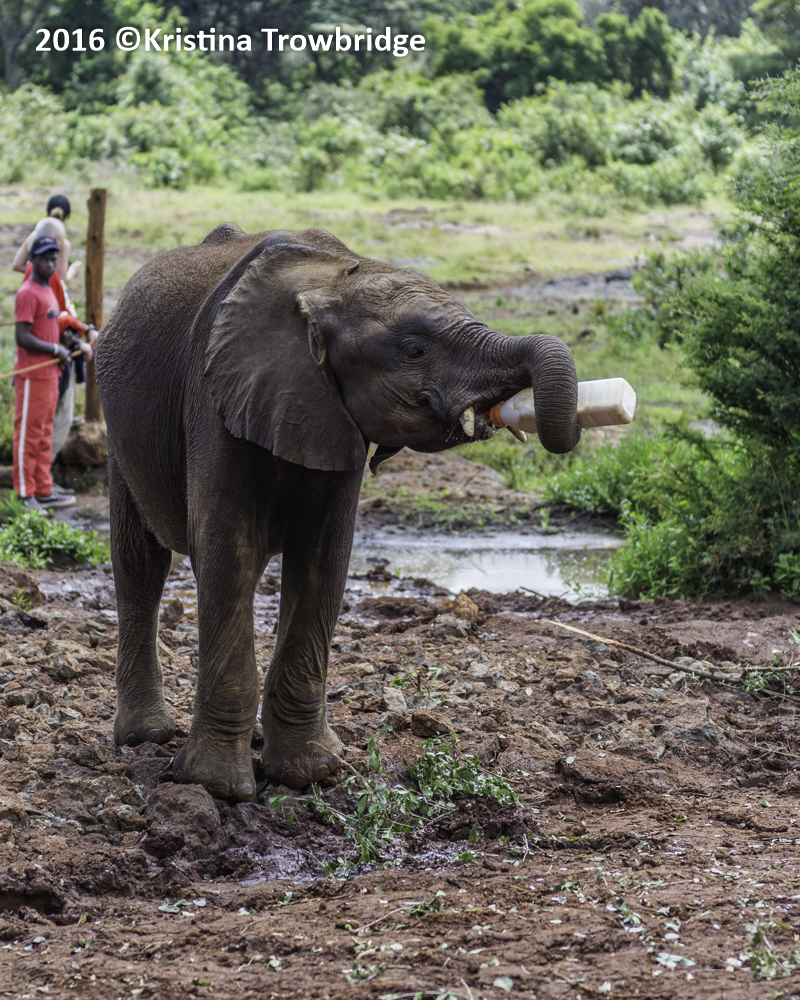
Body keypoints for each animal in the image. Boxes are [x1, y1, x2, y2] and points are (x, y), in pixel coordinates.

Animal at [95, 224, 581, 801]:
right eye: (413, 349)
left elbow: (323, 558)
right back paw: (144, 737)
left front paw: (311, 772)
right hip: (116, 427)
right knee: (141, 561)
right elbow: (227, 550)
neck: (330, 282)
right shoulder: (213, 395)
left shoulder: (333, 414)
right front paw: (216, 787)